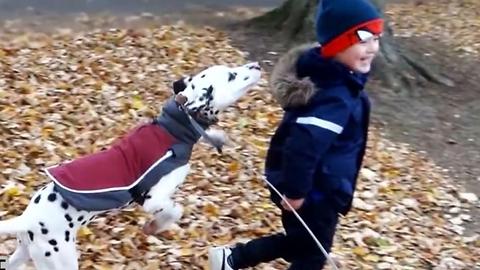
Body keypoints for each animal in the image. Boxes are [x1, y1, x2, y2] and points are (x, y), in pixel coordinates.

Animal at [0, 62, 262, 268]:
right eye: (231, 75)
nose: (257, 65)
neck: (172, 129)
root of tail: (28, 219)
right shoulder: (153, 199)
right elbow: (174, 210)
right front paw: (155, 226)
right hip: (59, 259)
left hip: (24, 253)